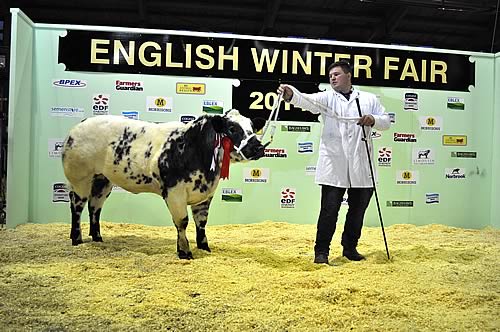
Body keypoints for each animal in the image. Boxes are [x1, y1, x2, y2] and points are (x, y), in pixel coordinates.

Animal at [62, 110, 268, 258]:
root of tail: (78, 126)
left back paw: (97, 238)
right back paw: (77, 239)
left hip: (102, 181)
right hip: (80, 178)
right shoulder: (174, 191)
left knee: (94, 207)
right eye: (232, 128)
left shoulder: (205, 194)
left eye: (252, 127)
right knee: (77, 206)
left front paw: (204, 247)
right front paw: (184, 252)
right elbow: (182, 222)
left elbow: (201, 222)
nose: (259, 147)